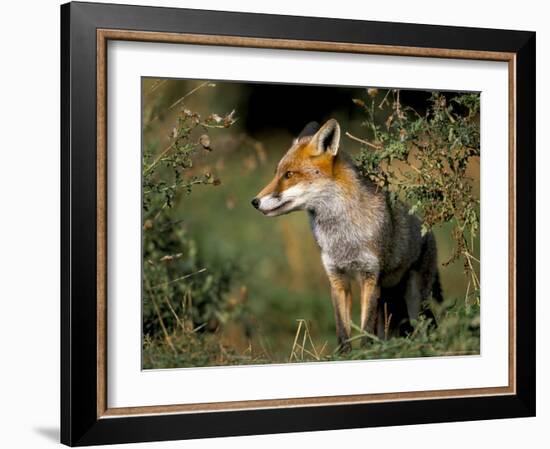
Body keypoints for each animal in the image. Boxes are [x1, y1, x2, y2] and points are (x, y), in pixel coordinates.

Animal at [251, 117, 444, 352]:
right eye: (277, 173)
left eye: (289, 175)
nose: (255, 202)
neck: (342, 238)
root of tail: (428, 229)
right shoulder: (337, 278)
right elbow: (343, 331)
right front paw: (345, 355)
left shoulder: (370, 277)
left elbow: (366, 330)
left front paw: (366, 353)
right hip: (389, 300)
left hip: (415, 300)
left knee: (425, 328)